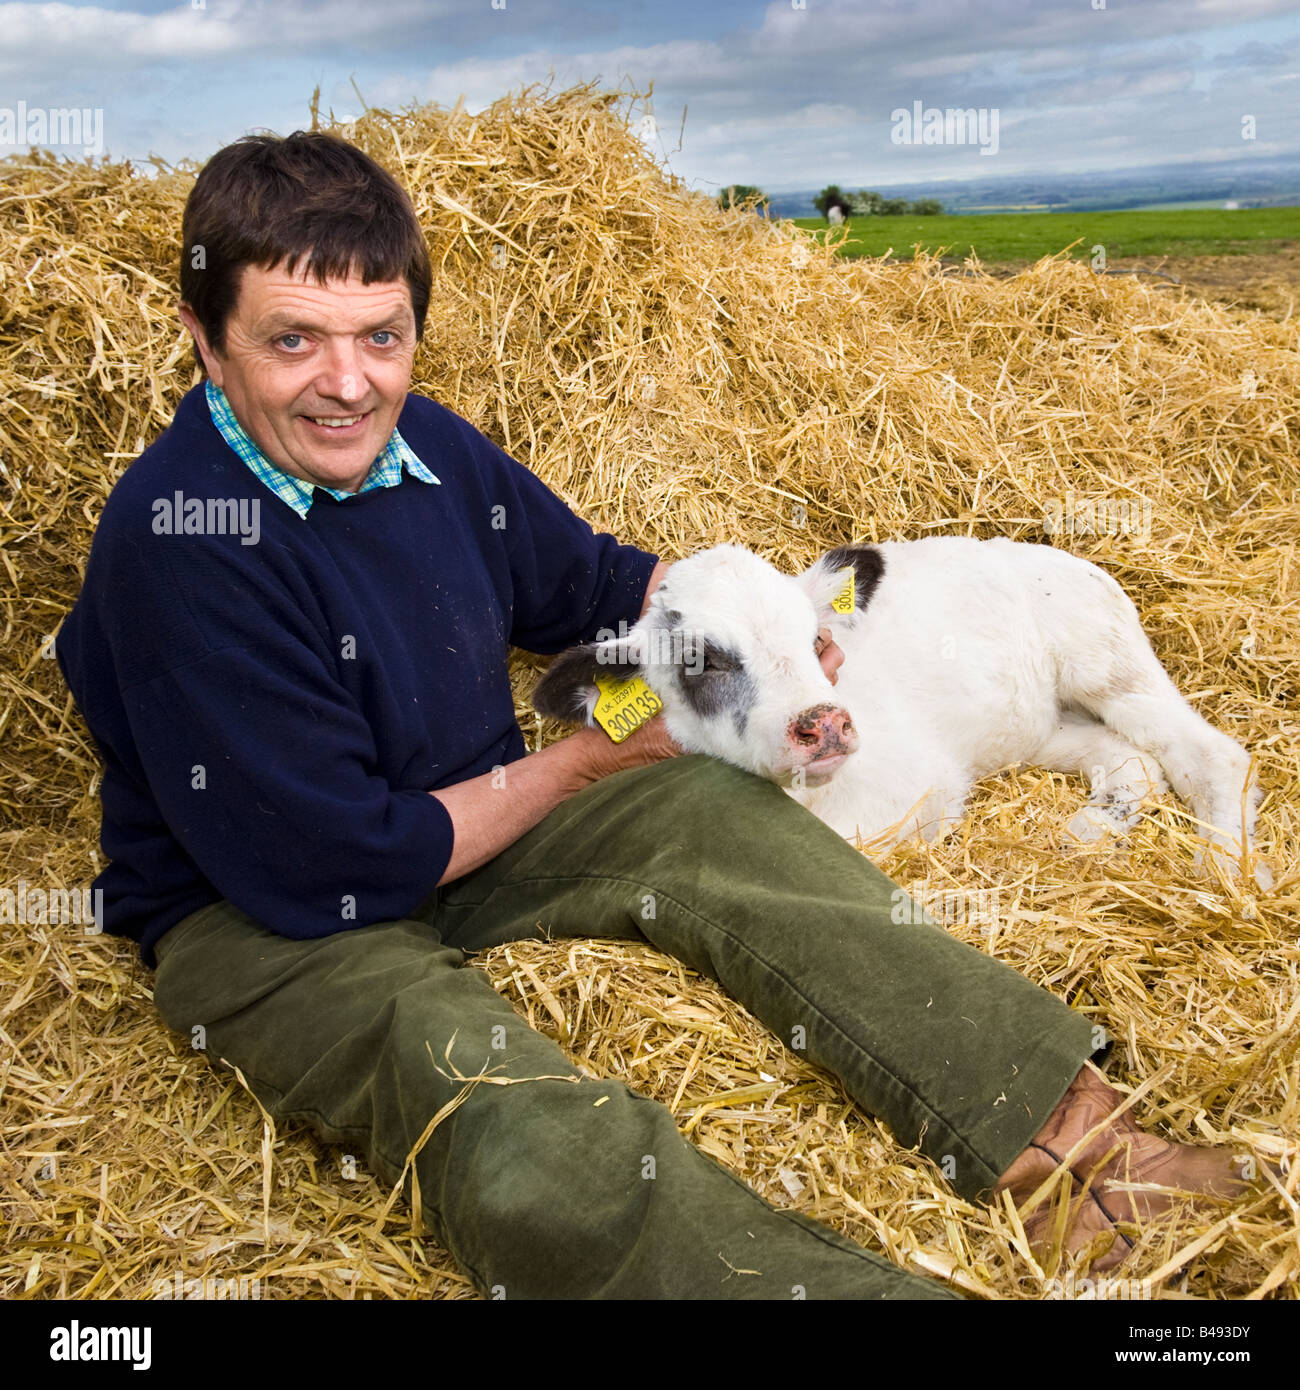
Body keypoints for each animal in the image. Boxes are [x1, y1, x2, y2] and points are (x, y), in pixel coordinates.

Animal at [533, 536, 1273, 884]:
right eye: (701, 661)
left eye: (816, 640)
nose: (825, 724)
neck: (816, 801)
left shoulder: (920, 794)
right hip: (1034, 722)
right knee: (1129, 758)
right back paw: (1091, 827)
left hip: (1105, 660)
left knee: (1212, 755)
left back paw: (1228, 870)